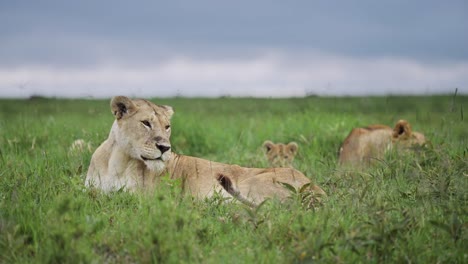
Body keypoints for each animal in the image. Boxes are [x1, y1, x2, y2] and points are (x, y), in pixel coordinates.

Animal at [85, 96, 326, 207]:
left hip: (256, 183)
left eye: (167, 126)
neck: (118, 161)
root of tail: (318, 190)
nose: (164, 148)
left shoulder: (143, 198)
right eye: (146, 123)